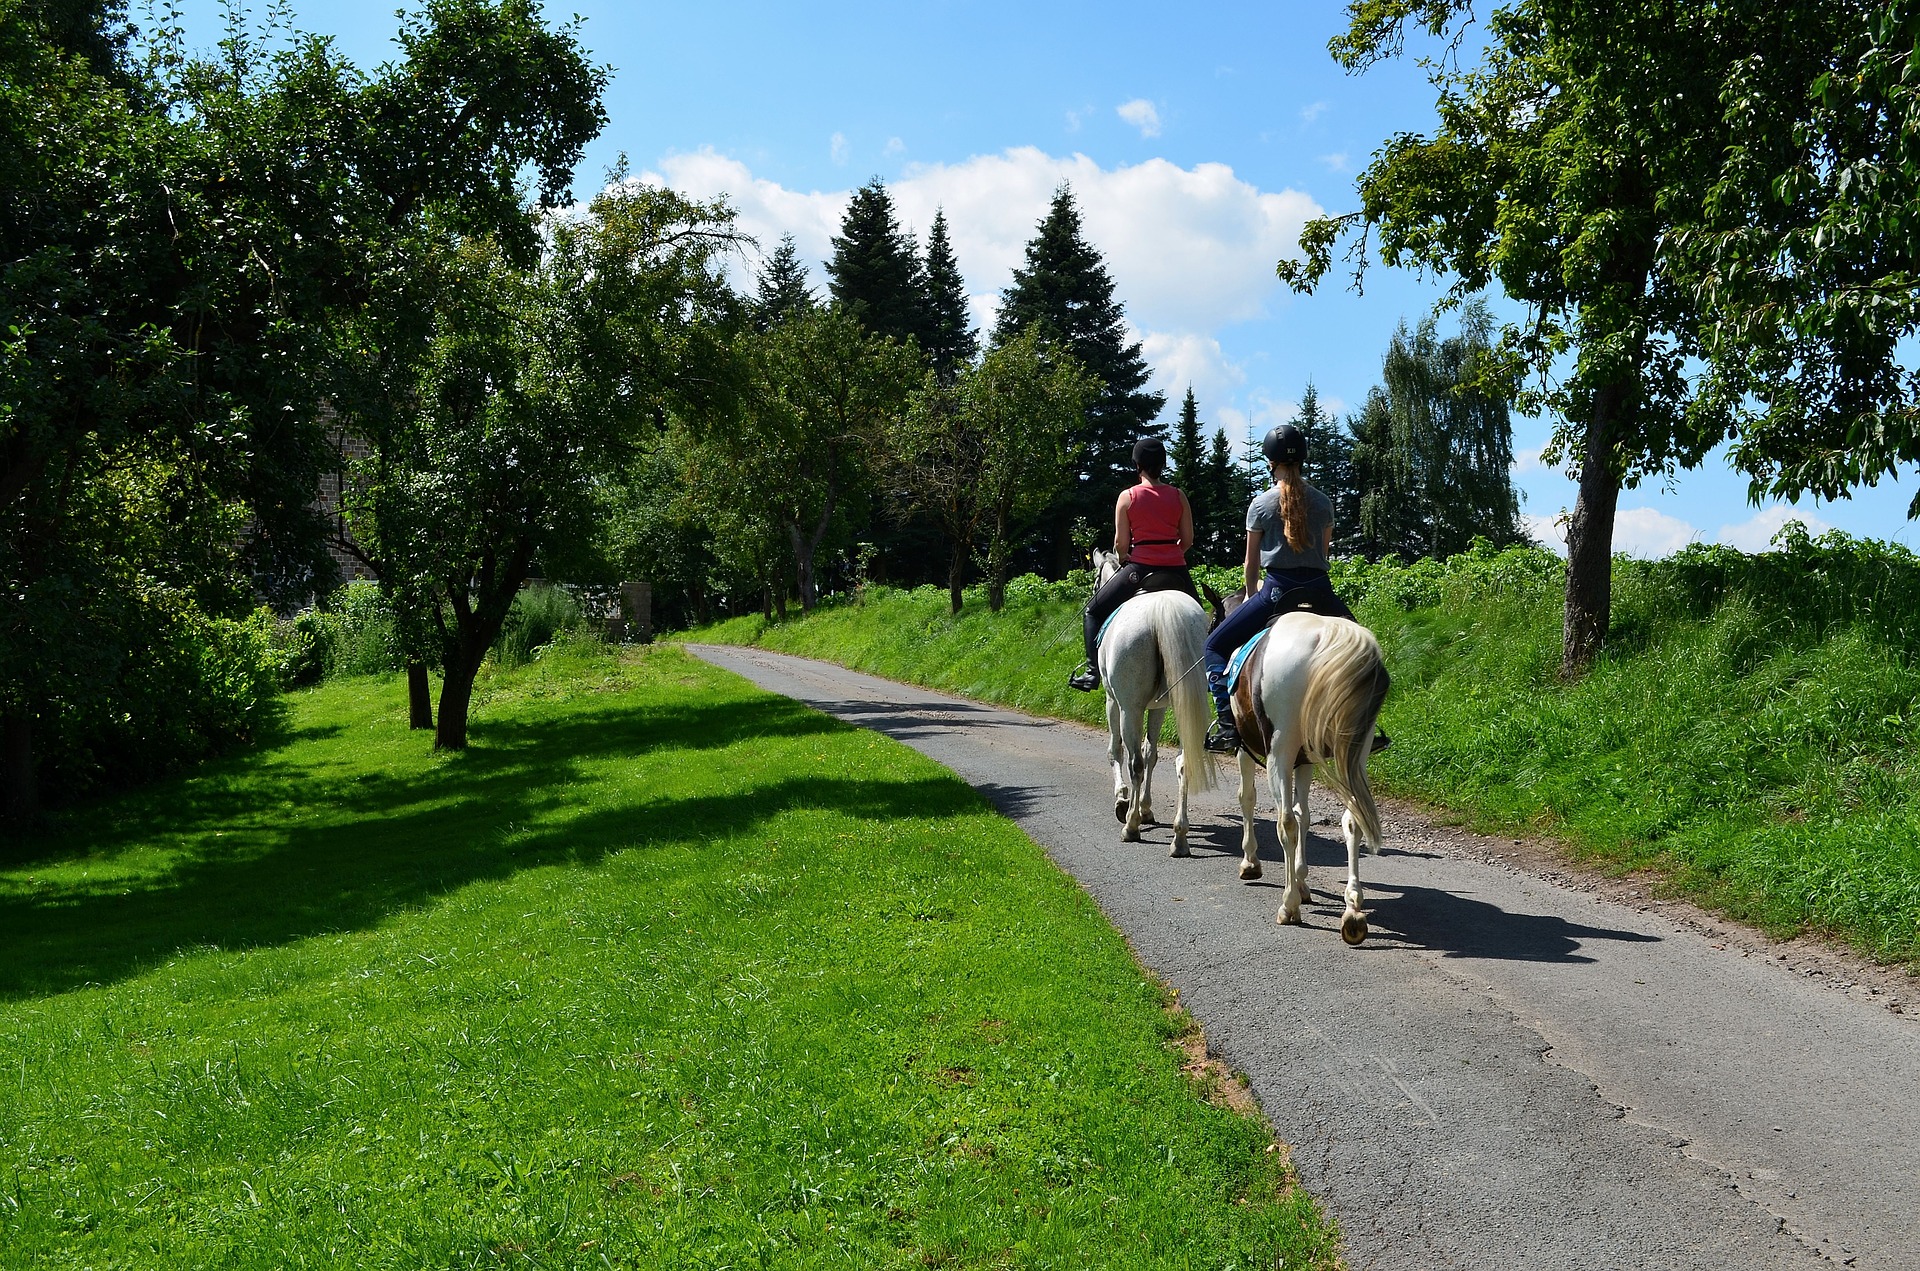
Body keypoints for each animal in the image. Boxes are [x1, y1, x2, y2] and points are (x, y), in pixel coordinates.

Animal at [1098, 549, 1213, 856]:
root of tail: (1164, 607)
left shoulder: (1113, 702)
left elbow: (1117, 750)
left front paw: (1124, 802)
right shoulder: (1159, 708)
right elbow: (1152, 752)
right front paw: (1146, 809)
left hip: (1130, 708)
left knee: (1134, 762)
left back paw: (1131, 826)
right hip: (1184, 705)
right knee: (1183, 762)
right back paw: (1180, 837)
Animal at [1236, 606, 1390, 944]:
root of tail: (1326, 634)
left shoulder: (1246, 747)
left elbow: (1249, 799)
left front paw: (1252, 863)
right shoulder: (1304, 760)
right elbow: (1304, 814)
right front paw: (1303, 880)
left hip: (1279, 752)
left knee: (1285, 824)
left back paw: (1289, 905)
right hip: (1356, 752)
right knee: (1352, 820)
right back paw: (1353, 910)